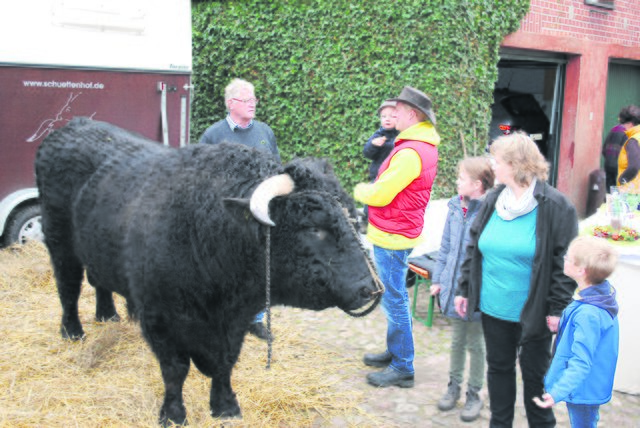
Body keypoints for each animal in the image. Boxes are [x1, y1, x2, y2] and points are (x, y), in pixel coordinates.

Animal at [35, 117, 380, 424]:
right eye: (313, 227)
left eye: (353, 218)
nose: (370, 288)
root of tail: (73, 127)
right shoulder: (160, 317)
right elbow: (175, 370)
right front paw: (173, 415)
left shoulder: (236, 320)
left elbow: (226, 364)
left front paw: (226, 406)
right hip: (59, 241)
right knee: (68, 286)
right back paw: (72, 331)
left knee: (100, 282)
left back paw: (107, 315)